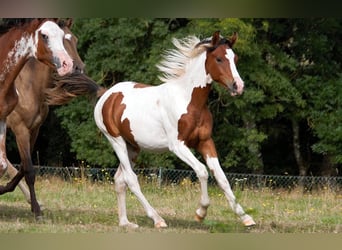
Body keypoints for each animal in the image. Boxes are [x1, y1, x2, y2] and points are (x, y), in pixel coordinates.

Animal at [95, 30, 255, 229]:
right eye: (218, 59)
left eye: (236, 58)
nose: (238, 86)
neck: (189, 101)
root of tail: (107, 95)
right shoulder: (177, 145)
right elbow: (202, 171)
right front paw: (201, 212)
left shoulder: (205, 142)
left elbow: (222, 178)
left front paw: (246, 217)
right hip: (116, 142)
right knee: (131, 180)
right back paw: (157, 219)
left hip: (132, 146)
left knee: (119, 180)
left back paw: (126, 223)